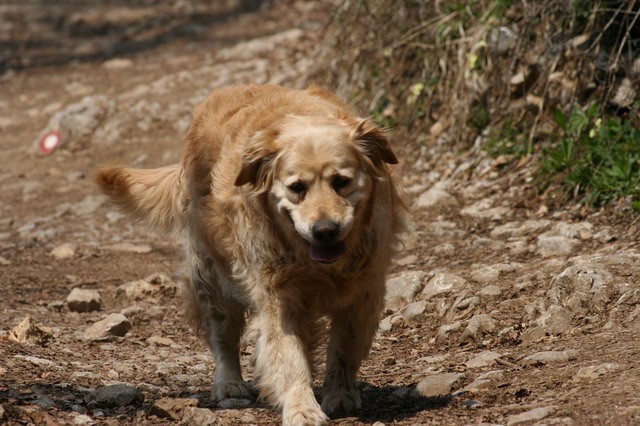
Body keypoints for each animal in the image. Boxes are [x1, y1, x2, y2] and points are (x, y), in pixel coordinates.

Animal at [95, 85, 404, 424]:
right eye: (297, 187)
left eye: (341, 182)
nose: (325, 230)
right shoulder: (276, 296)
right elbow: (289, 356)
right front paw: (302, 407)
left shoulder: (365, 289)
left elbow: (345, 346)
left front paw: (340, 393)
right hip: (212, 278)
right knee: (223, 338)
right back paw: (229, 383)